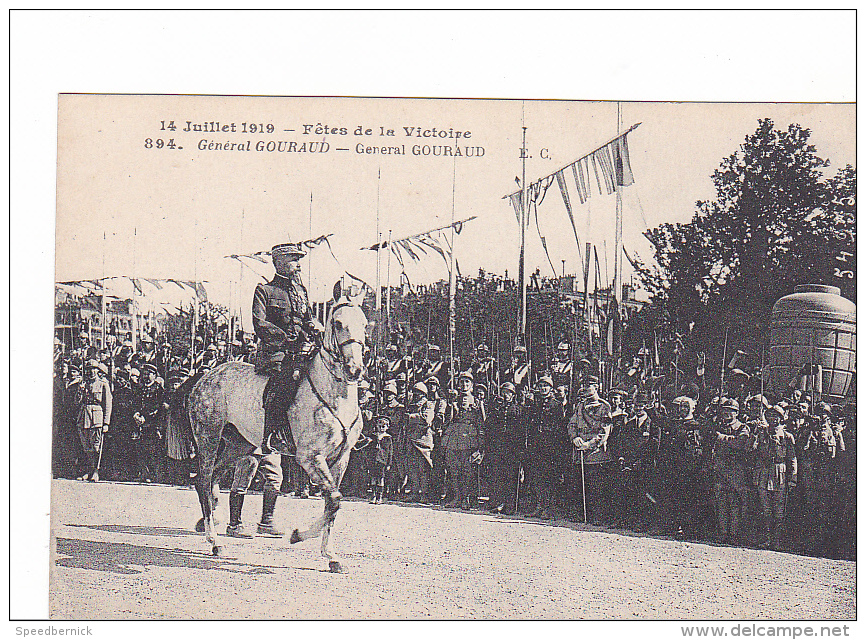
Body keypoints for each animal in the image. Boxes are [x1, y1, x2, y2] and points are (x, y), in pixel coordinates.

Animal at [187, 284, 366, 568]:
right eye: (338, 323)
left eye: (365, 324)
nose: (355, 369)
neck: (335, 396)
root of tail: (205, 377)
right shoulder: (310, 457)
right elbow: (335, 500)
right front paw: (298, 535)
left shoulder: (341, 459)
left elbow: (332, 503)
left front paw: (330, 555)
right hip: (208, 437)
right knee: (204, 480)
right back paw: (215, 542)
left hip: (239, 446)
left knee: (210, 479)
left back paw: (210, 524)